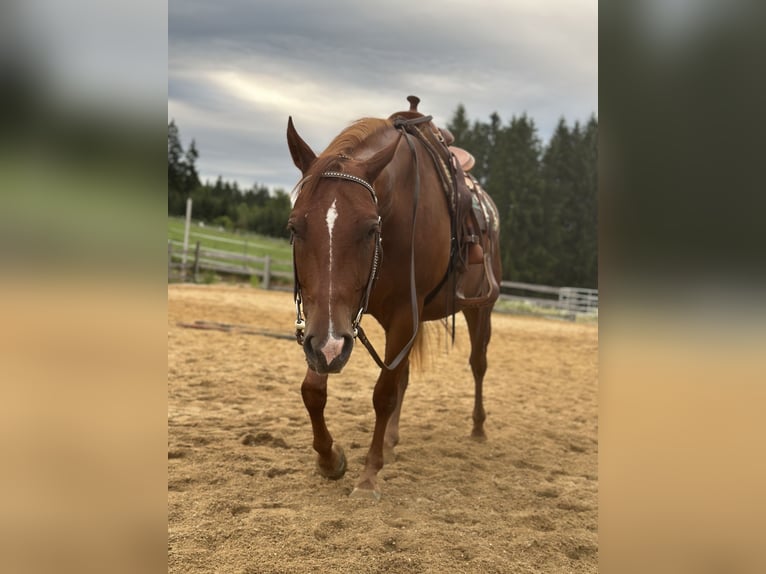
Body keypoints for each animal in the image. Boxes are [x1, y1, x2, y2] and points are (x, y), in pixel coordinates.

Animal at [286, 95, 501, 500]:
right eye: (294, 227)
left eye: (371, 228)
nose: (329, 346)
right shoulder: (327, 324)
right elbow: (313, 390)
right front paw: (330, 459)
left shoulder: (400, 316)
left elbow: (383, 394)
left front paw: (369, 476)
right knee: (403, 376)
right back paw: (390, 442)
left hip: (480, 310)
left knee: (477, 364)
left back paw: (478, 428)